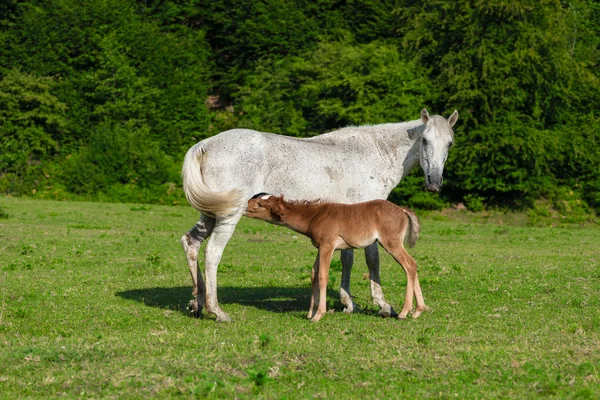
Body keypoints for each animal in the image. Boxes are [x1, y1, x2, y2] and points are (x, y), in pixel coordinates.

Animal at [245, 194, 426, 322]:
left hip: (391, 243)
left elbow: (322, 276)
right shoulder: (319, 247)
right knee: (413, 265)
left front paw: (318, 315)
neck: (313, 216)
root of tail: (403, 210)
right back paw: (418, 310)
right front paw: (310, 313)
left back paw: (404, 312)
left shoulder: (328, 246)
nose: (245, 204)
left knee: (409, 265)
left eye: (260, 204)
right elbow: (313, 274)